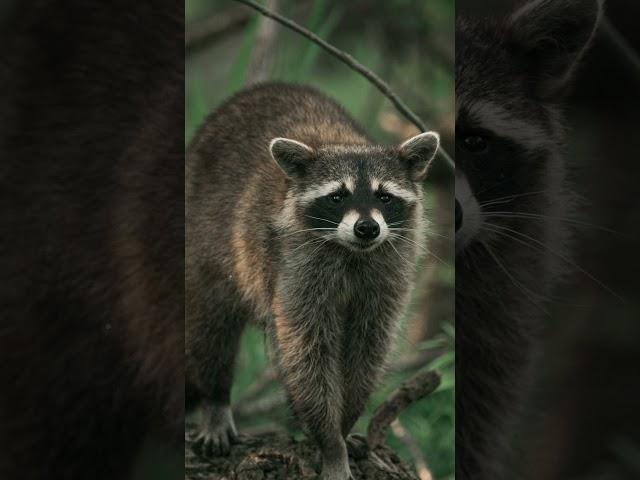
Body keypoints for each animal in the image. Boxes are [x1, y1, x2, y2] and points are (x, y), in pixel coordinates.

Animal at [185, 83, 440, 480]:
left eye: (384, 196)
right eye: (337, 196)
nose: (367, 228)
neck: (351, 252)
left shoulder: (387, 275)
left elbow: (367, 348)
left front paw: (345, 425)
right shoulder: (295, 270)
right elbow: (307, 355)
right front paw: (330, 442)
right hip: (206, 235)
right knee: (212, 325)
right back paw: (215, 400)